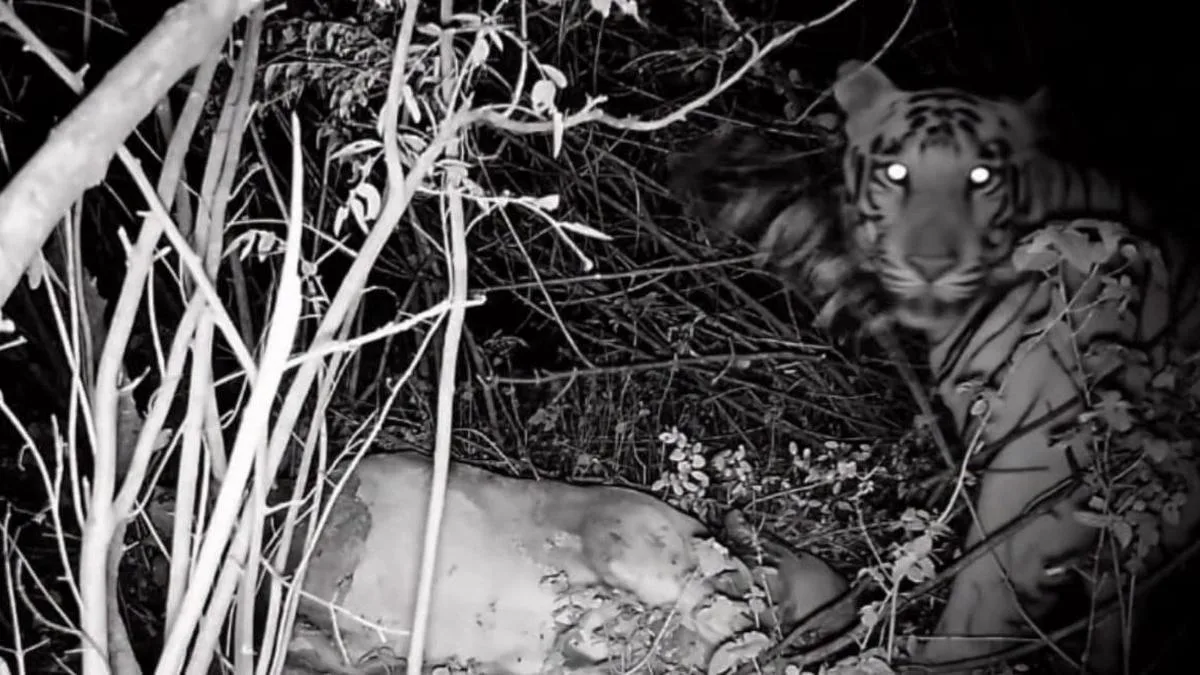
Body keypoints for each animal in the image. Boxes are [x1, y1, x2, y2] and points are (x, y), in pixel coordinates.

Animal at [670, 60, 1200, 673]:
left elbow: (981, 590)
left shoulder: (1038, 463)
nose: (929, 264)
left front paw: (923, 656)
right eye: (897, 172)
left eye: (981, 177)